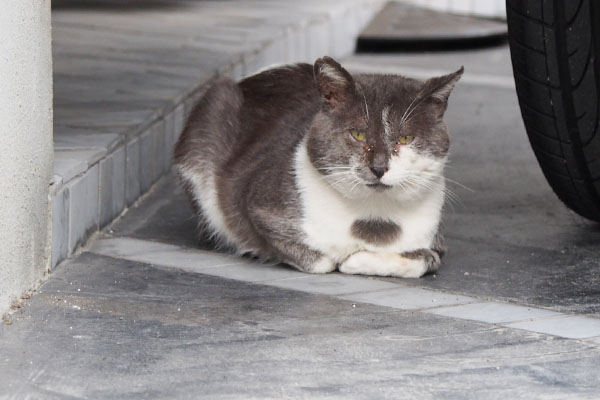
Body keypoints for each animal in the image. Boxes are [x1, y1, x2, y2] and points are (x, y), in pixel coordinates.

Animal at [173, 56, 464, 278]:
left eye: (405, 139)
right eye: (358, 134)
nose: (379, 167)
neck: (374, 215)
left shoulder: (436, 239)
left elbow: (426, 260)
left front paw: (356, 260)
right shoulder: (260, 207)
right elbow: (321, 262)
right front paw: (345, 259)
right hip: (211, 111)